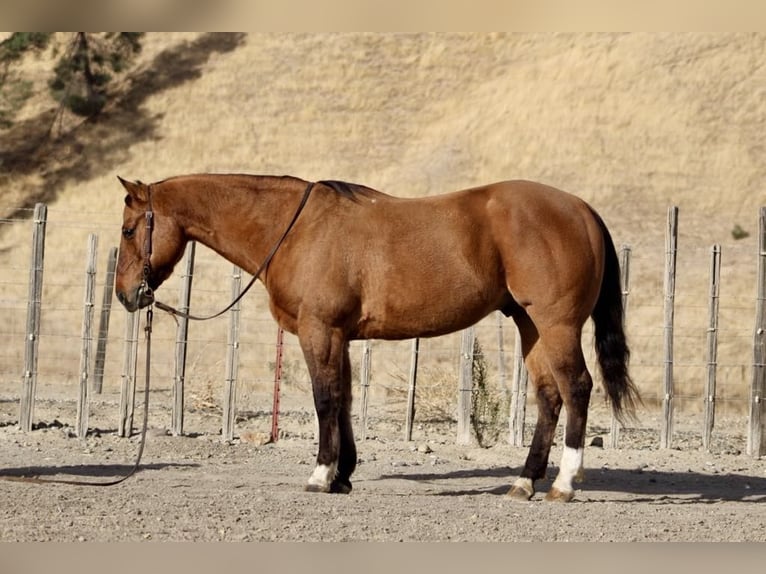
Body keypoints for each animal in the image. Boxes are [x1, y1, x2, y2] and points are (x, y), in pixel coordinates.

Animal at [115, 173, 639, 502]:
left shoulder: (319, 331)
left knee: (577, 389)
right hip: (529, 326)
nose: (126, 294)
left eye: (128, 229)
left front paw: (321, 474)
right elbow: (344, 400)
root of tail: (581, 209)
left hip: (556, 325)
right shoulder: (341, 337)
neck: (296, 229)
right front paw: (343, 475)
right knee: (550, 397)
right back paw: (524, 482)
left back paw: (563, 484)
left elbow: (325, 399)